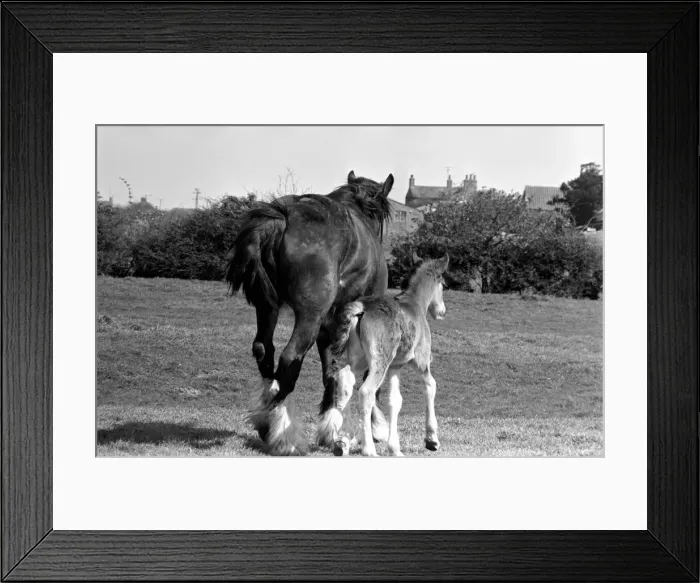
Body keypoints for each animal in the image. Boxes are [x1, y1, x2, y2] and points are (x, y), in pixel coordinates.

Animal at [226, 171, 394, 455]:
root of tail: (283, 218)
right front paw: (374, 427)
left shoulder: (329, 324)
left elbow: (331, 371)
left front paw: (331, 427)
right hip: (309, 318)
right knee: (288, 360)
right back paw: (284, 435)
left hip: (268, 308)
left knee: (264, 350)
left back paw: (265, 420)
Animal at [329, 254, 449, 456]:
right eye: (444, 284)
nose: (442, 311)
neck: (414, 304)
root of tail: (361, 307)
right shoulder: (421, 360)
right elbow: (431, 386)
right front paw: (432, 440)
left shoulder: (395, 367)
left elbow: (395, 400)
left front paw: (394, 448)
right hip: (380, 362)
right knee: (366, 392)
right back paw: (368, 449)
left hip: (360, 360)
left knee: (345, 379)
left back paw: (342, 442)